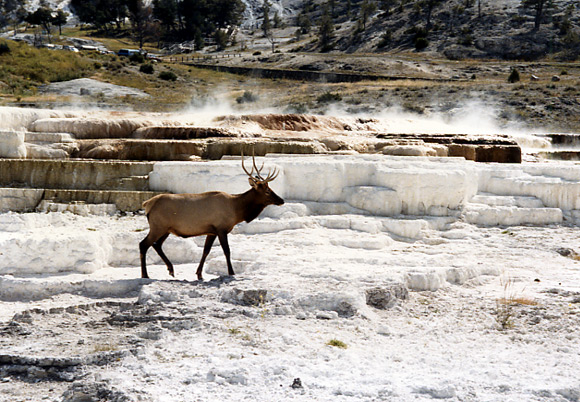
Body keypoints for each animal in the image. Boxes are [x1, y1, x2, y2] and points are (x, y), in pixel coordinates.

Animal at [138, 152, 284, 282]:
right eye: (267, 190)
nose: (281, 200)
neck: (237, 210)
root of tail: (147, 203)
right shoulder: (221, 228)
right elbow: (227, 251)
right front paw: (231, 272)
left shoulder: (211, 231)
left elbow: (206, 251)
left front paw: (199, 274)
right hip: (158, 226)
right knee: (143, 244)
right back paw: (145, 275)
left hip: (166, 229)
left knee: (156, 245)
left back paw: (170, 269)